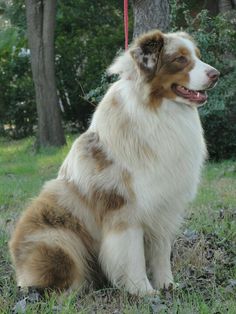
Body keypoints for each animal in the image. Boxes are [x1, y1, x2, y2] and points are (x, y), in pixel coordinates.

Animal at [9, 29, 219, 294]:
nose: (216, 74)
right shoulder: (125, 208)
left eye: (197, 56)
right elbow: (133, 255)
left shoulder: (163, 206)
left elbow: (161, 252)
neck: (159, 112)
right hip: (58, 238)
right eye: (180, 59)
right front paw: (144, 292)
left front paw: (167, 286)